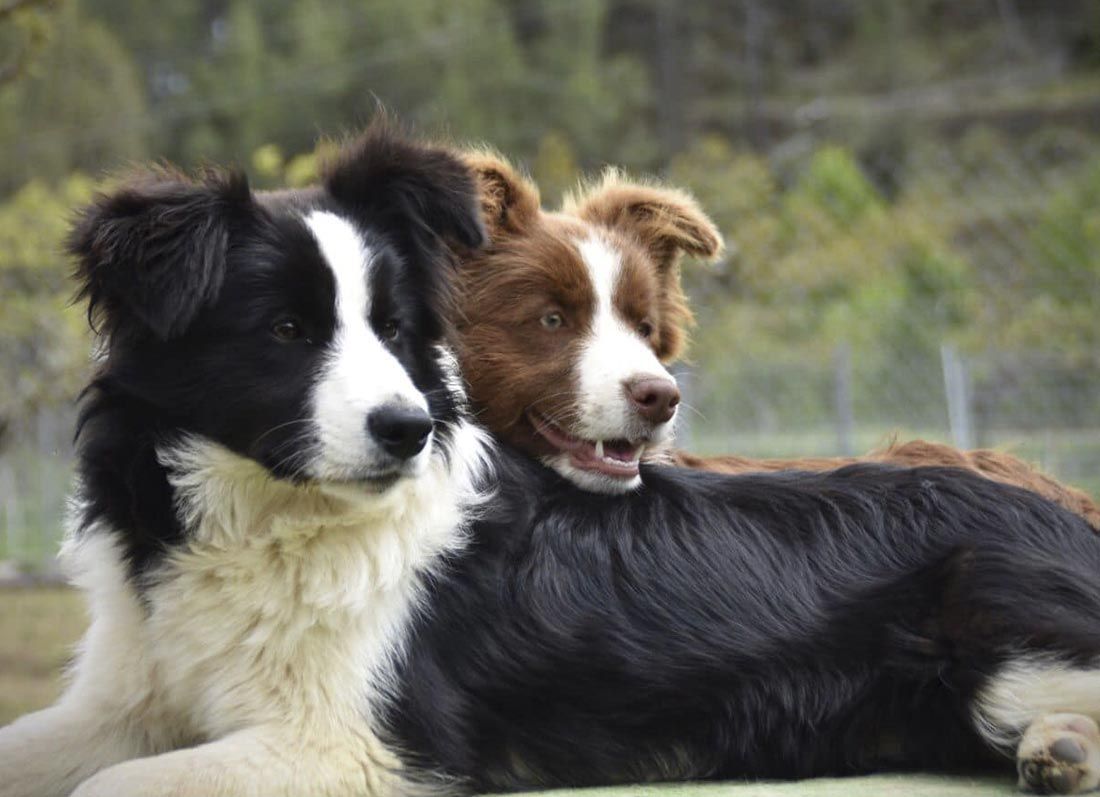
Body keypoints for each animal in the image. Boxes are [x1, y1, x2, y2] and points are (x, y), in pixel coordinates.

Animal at [0, 124, 490, 795]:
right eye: (285, 328)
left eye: (392, 328)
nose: (409, 431)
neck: (263, 519)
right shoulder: (125, 693)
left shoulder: (357, 746)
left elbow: (111, 782)